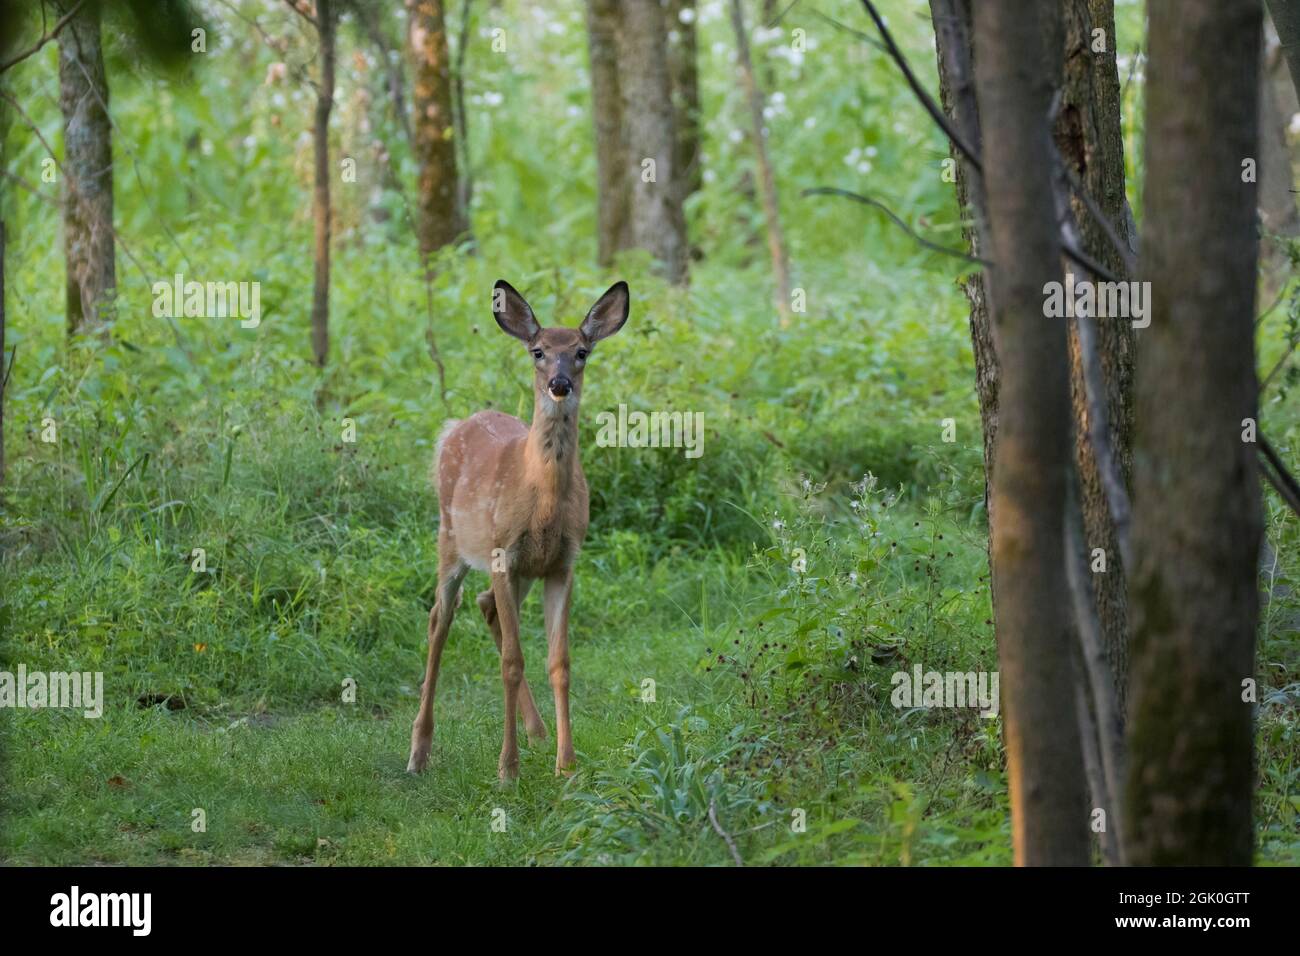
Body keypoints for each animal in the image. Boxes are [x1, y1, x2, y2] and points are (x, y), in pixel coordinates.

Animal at [407, 279, 629, 781]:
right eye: (538, 351)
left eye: (582, 351)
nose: (559, 384)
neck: (541, 500)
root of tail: (455, 425)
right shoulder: (500, 553)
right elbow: (511, 660)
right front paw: (507, 770)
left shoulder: (562, 563)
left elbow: (559, 662)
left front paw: (566, 765)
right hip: (450, 541)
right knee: (439, 618)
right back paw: (419, 751)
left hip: (521, 571)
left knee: (485, 605)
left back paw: (538, 731)